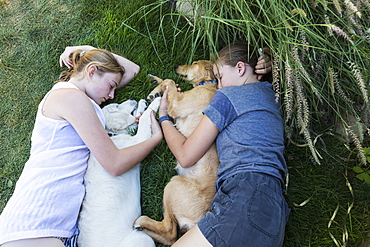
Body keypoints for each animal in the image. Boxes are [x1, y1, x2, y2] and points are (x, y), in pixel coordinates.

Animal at [77, 97, 160, 247]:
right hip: (142, 239)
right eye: (116, 106)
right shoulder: (137, 141)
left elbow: (138, 119)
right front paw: (156, 102)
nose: (132, 98)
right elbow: (145, 119)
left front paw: (142, 104)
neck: (110, 135)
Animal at [134, 59, 218, 245]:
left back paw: (141, 221)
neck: (207, 84)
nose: (175, 66)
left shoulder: (179, 105)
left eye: (194, 62)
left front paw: (156, 91)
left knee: (170, 232)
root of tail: (198, 223)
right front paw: (156, 86)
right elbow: (168, 82)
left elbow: (170, 81)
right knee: (169, 237)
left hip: (173, 184)